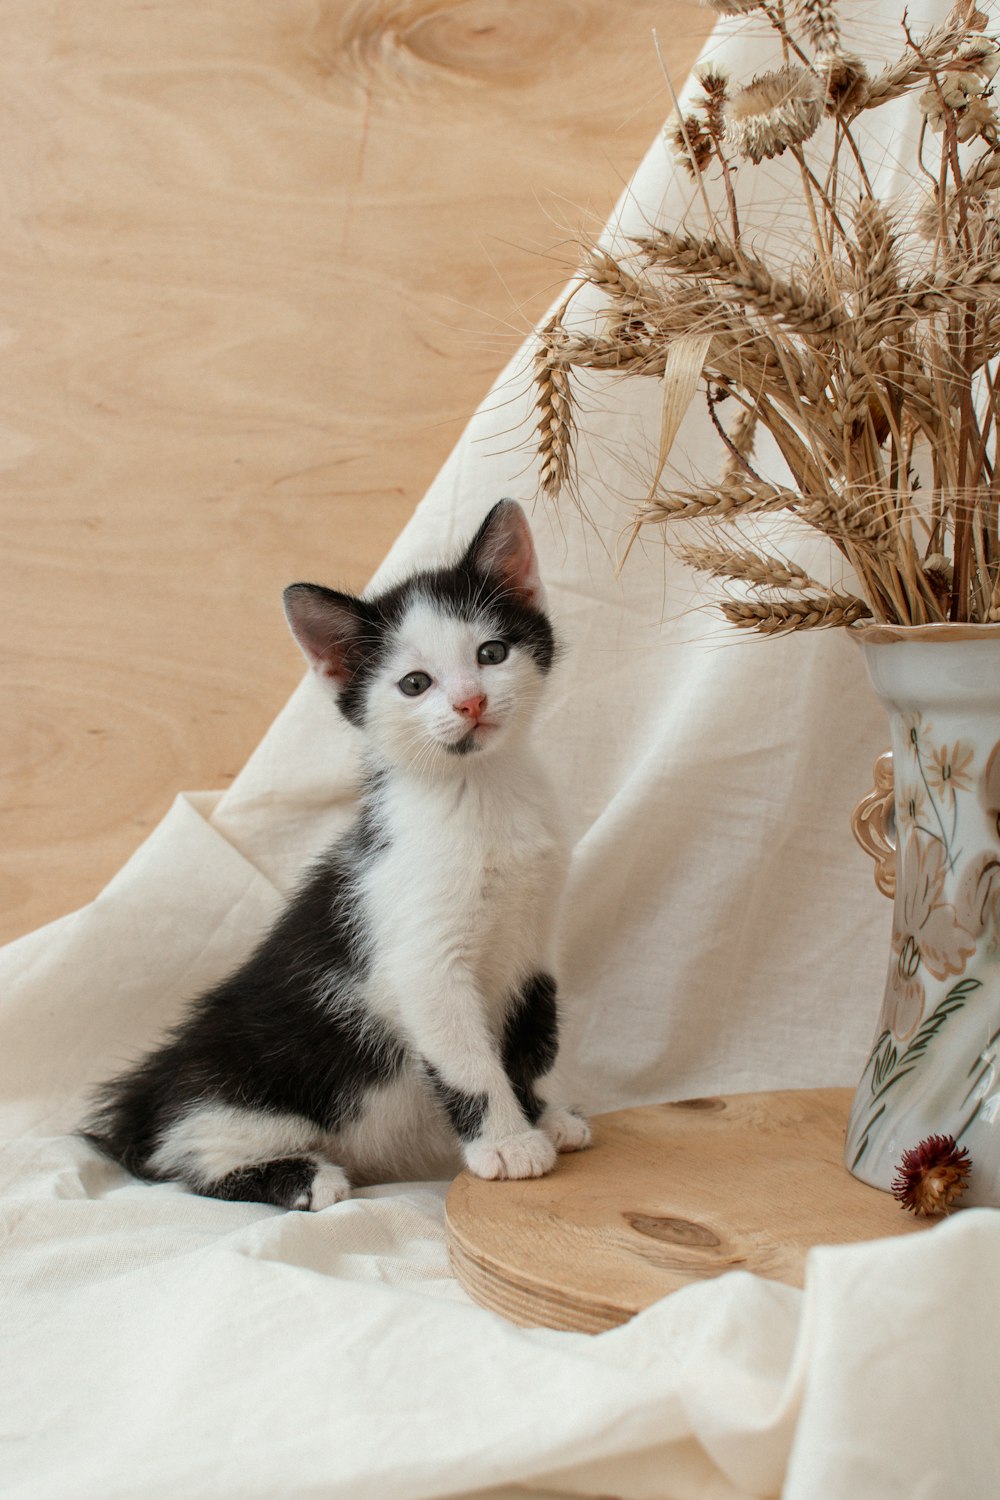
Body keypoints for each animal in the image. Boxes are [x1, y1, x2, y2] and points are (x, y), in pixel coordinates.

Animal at [86, 501, 590, 1206]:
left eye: (492, 653)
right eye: (414, 684)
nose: (471, 701)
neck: (481, 792)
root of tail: (147, 1094)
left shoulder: (535, 944)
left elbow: (532, 1041)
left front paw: (543, 1117)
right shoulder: (424, 961)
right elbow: (469, 1061)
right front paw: (507, 1145)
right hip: (240, 1087)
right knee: (183, 1156)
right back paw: (301, 1178)